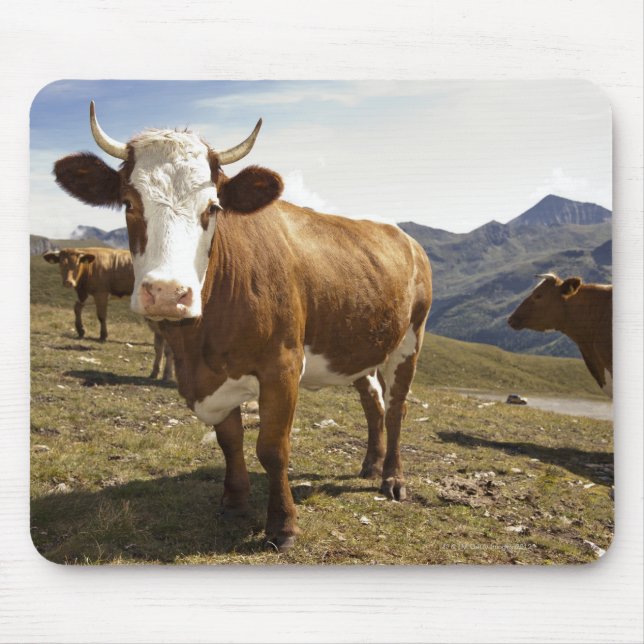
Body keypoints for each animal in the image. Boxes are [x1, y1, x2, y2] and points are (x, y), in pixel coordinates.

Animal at [43, 246, 173, 381]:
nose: (68, 282)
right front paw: (80, 330)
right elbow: (77, 307)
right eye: (61, 264)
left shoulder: (101, 293)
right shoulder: (88, 294)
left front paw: (103, 335)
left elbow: (101, 316)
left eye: (77, 264)